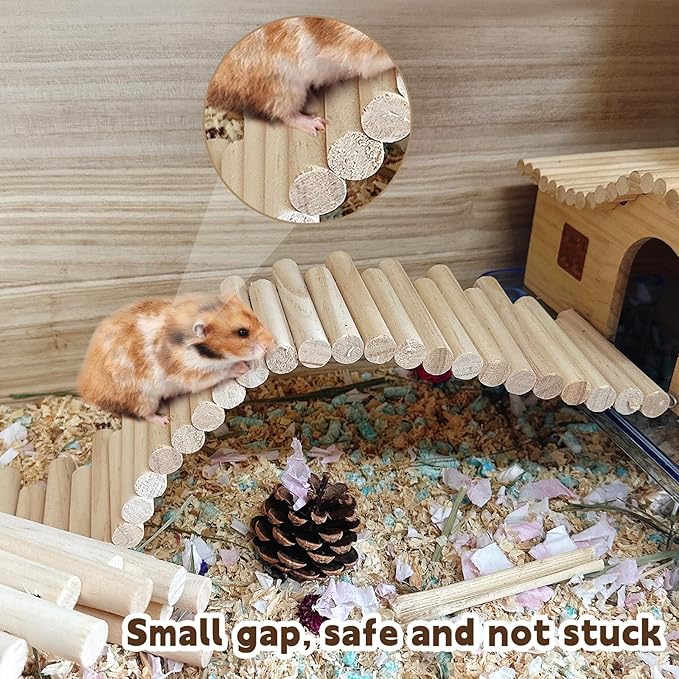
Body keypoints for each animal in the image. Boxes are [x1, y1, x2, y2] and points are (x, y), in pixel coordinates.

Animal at [78, 294, 275, 425]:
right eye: (242, 332)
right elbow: (220, 371)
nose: (271, 342)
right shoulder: (192, 373)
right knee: (144, 414)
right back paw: (164, 420)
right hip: (143, 398)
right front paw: (242, 367)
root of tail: (88, 393)